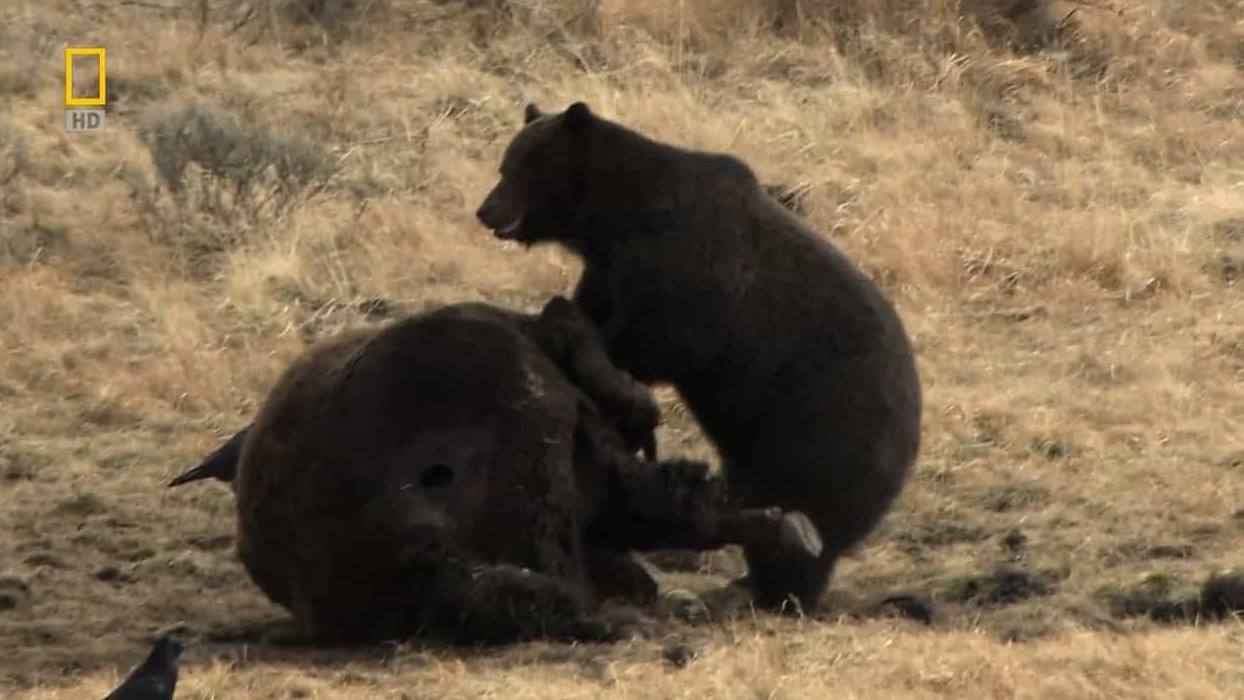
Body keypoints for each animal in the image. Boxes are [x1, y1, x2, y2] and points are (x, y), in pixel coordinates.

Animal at [475, 102, 924, 614]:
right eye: (505, 164)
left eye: (523, 168)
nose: (486, 210)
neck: (616, 217)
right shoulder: (609, 270)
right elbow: (595, 306)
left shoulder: (692, 266)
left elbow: (663, 337)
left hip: (823, 424)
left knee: (803, 509)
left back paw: (779, 593)